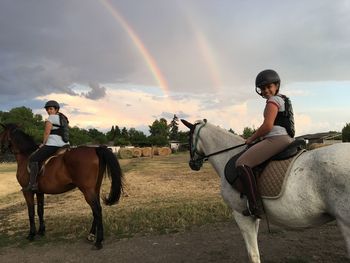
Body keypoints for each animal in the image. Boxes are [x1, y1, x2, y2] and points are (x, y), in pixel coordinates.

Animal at [182, 119, 350, 263]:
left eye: (189, 137)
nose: (192, 164)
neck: (228, 155)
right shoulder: (253, 216)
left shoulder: (241, 215)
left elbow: (253, 254)